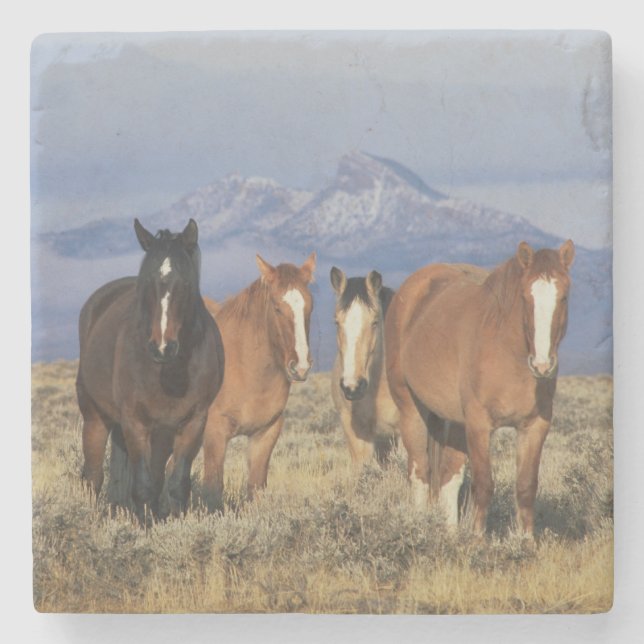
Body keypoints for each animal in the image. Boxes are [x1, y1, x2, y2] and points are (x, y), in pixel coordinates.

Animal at [76, 219, 224, 523]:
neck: (171, 373)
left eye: (186, 283)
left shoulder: (192, 423)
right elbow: (143, 486)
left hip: (160, 434)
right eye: (146, 283)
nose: (162, 347)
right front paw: (145, 526)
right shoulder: (134, 421)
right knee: (93, 477)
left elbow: (176, 483)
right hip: (96, 417)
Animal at [201, 252, 316, 512]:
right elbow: (212, 490)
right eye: (277, 308)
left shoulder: (266, 433)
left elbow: (256, 489)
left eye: (310, 306)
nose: (300, 366)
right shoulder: (215, 433)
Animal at [385, 240, 575, 535]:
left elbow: (526, 487)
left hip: (453, 422)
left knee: (448, 476)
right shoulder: (479, 425)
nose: (542, 365)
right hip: (411, 411)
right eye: (525, 298)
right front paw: (477, 540)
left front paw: (526, 541)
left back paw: (450, 534)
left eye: (563, 297)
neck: (507, 352)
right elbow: (483, 485)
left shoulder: (534, 427)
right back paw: (418, 528)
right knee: (420, 473)